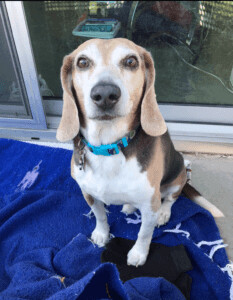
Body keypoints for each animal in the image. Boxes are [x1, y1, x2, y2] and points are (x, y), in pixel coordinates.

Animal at [56, 38, 224, 268]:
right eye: (82, 62)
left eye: (130, 61)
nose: (105, 94)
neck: (109, 147)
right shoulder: (88, 193)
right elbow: (100, 215)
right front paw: (102, 233)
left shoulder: (149, 206)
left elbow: (144, 233)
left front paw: (138, 254)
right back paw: (128, 206)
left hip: (178, 176)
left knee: (171, 198)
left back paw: (164, 213)